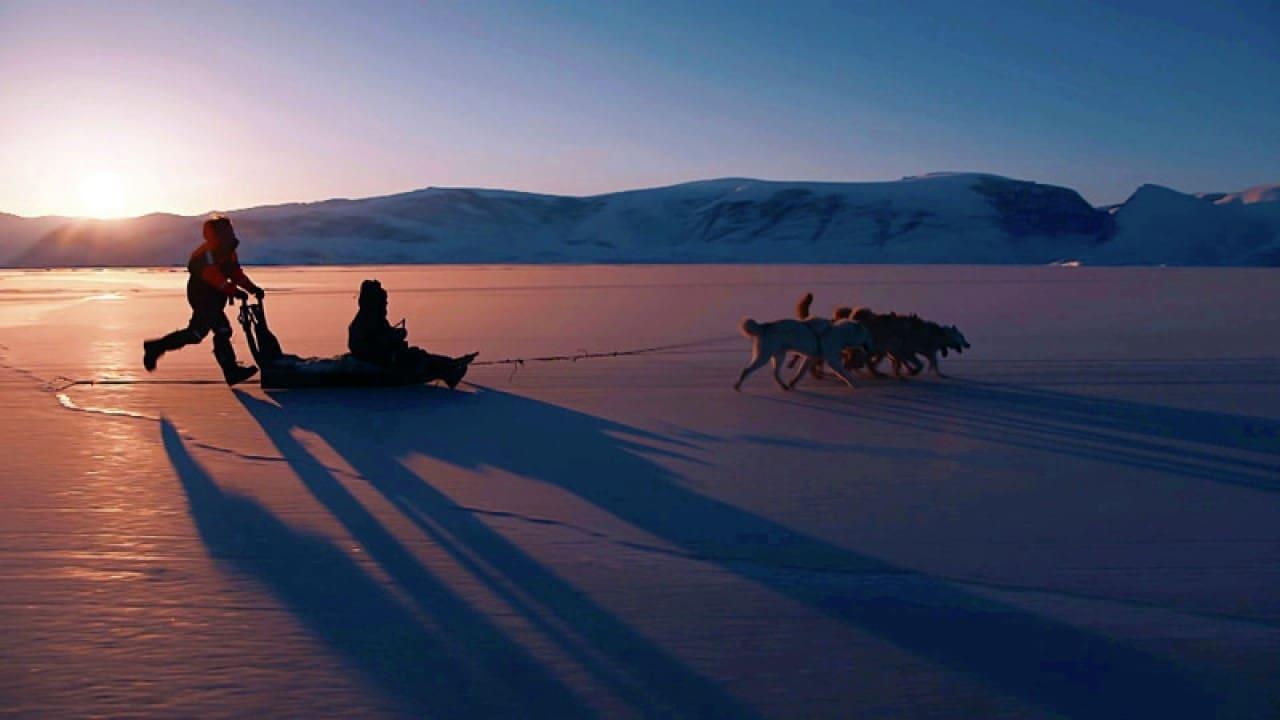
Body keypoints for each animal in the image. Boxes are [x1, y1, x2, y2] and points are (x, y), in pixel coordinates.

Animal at [737, 316, 875, 389]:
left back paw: (784, 386)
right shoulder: (833, 361)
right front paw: (855, 384)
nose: (872, 345)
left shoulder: (810, 358)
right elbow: (845, 374)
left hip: (779, 356)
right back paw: (737, 386)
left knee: (775, 373)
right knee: (746, 369)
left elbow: (800, 372)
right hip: (764, 356)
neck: (841, 334)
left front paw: (792, 383)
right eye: (868, 334)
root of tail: (765, 326)